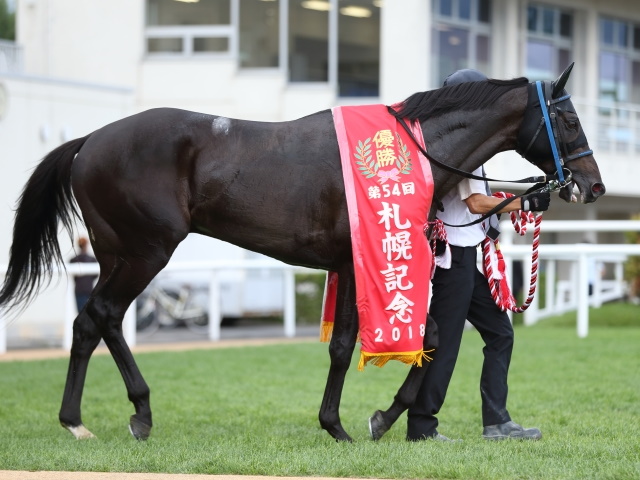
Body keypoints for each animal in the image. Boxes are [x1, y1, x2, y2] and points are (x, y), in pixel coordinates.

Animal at [0, 64, 604, 442]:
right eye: (571, 119)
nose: (592, 186)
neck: (411, 148)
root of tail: (89, 141)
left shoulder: (347, 265)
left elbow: (385, 340)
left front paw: (363, 419)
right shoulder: (359, 263)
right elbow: (381, 343)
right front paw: (361, 422)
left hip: (115, 254)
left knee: (89, 323)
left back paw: (75, 419)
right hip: (146, 251)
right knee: (104, 315)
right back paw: (140, 413)